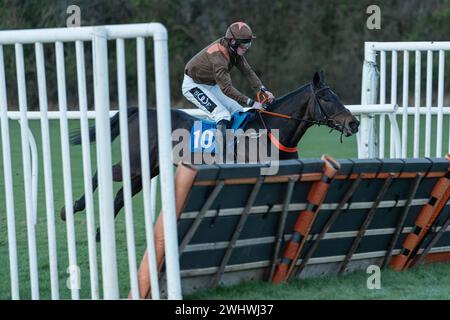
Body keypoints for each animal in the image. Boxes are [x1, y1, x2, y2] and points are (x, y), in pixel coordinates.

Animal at [62, 70, 358, 240]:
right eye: (327, 98)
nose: (353, 123)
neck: (270, 131)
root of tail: (140, 111)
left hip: (148, 168)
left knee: (120, 196)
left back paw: (99, 234)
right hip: (135, 164)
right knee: (101, 174)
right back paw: (71, 210)